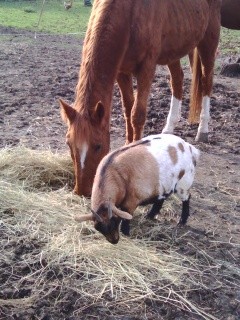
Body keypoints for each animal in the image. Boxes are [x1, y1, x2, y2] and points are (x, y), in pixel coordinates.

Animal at [60, 0, 221, 196]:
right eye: (69, 144)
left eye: (97, 145)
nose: (82, 191)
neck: (130, 12)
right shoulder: (122, 71)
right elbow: (128, 109)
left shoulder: (146, 68)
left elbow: (137, 115)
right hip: (175, 50)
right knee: (178, 80)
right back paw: (168, 128)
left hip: (208, 41)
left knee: (206, 82)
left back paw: (203, 130)